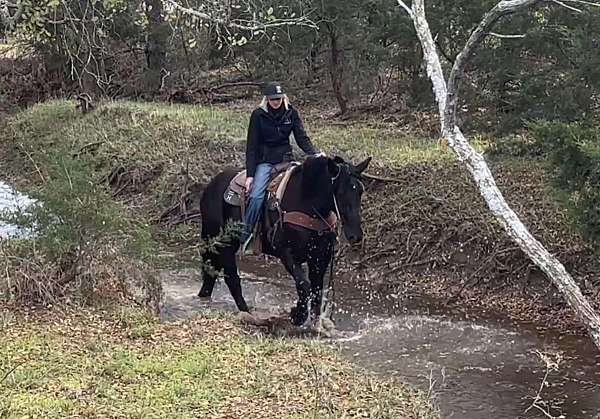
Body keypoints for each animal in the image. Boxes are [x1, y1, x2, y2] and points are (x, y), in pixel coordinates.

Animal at [197, 156, 370, 326]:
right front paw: (297, 315)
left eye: (360, 190)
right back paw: (247, 314)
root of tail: (211, 186)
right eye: (340, 192)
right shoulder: (286, 253)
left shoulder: (320, 257)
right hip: (224, 243)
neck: (305, 204)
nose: (356, 235)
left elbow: (316, 290)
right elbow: (304, 284)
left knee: (211, 273)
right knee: (232, 279)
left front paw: (315, 324)